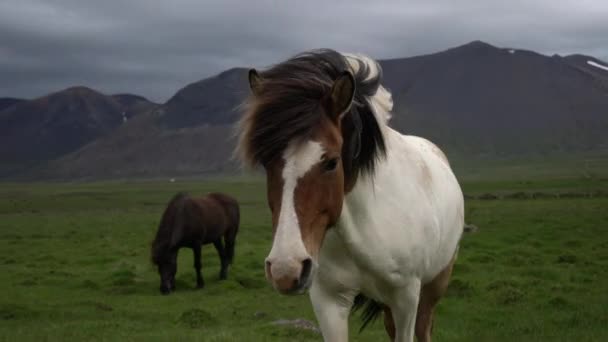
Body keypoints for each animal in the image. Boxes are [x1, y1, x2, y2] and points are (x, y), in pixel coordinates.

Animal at [235, 48, 464, 342]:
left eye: (332, 162)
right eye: (265, 162)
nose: (286, 269)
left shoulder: (407, 297)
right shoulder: (328, 300)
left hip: (435, 284)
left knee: (424, 329)